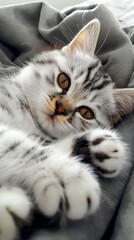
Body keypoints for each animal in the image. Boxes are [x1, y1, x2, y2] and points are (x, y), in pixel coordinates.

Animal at [0, 19, 133, 240]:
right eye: (64, 80)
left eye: (86, 112)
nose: (60, 108)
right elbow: (17, 144)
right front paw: (65, 175)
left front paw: (92, 146)